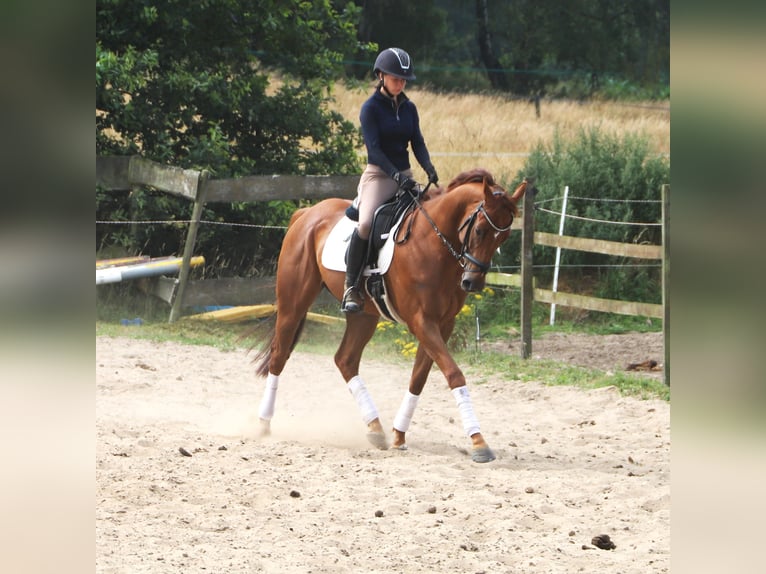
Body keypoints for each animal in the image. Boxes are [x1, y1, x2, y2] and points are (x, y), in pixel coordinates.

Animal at [252, 169, 529, 462]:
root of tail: (307, 213)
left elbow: (419, 378)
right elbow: (454, 374)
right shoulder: (421, 321)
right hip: (294, 303)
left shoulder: (443, 324)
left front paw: (399, 436)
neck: (434, 243)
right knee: (280, 355)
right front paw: (479, 442)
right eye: (479, 230)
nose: (472, 283)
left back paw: (375, 428)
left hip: (364, 315)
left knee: (345, 360)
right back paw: (264, 424)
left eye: (503, 238)